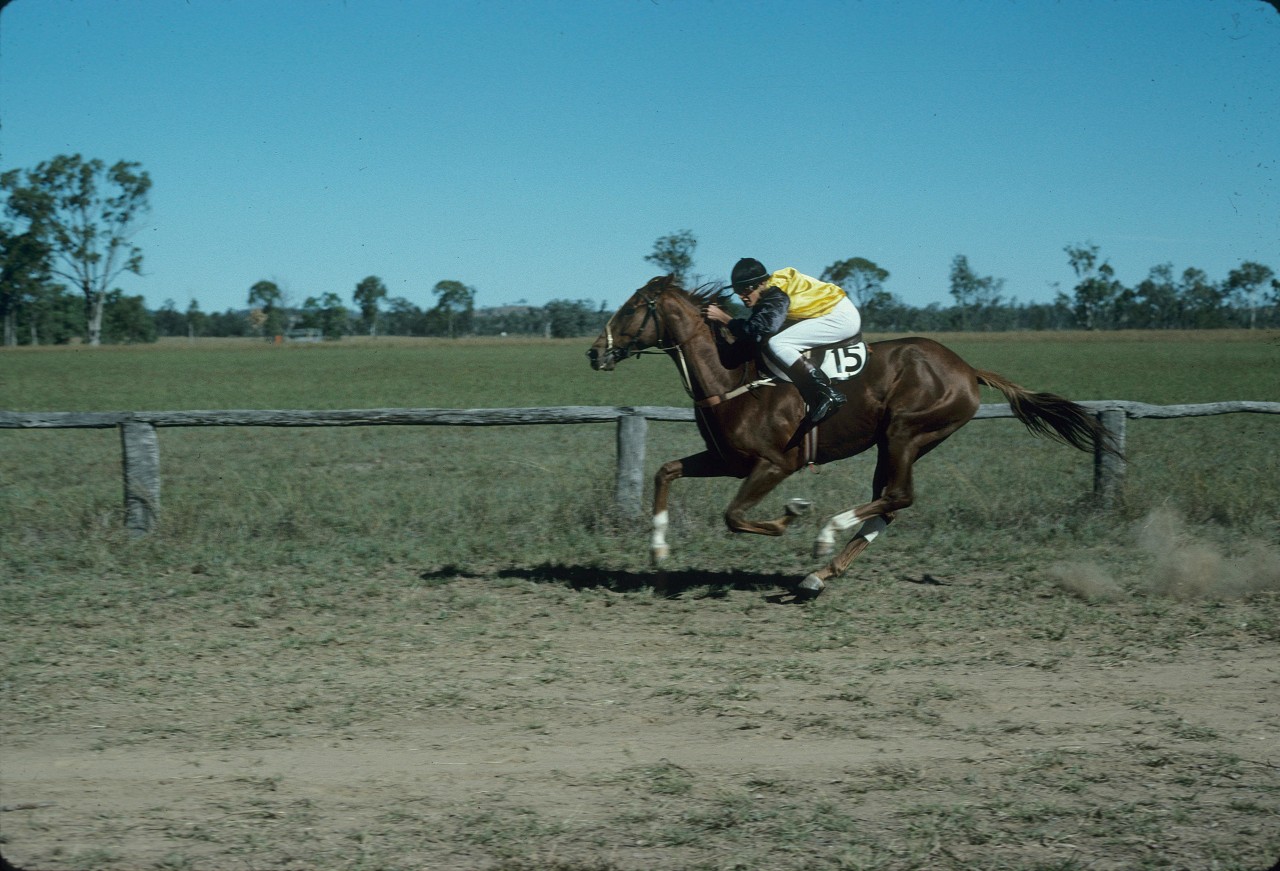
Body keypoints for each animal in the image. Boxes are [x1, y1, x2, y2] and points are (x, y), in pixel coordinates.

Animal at [586, 275, 1120, 599]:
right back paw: (819, 575)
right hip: (895, 442)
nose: (594, 352)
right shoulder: (727, 460)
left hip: (907, 430)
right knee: (890, 503)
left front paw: (792, 516)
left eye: (631, 309)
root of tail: (967, 368)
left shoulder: (775, 464)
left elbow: (735, 516)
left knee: (897, 496)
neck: (731, 375)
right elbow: (665, 471)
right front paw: (657, 549)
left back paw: (825, 537)